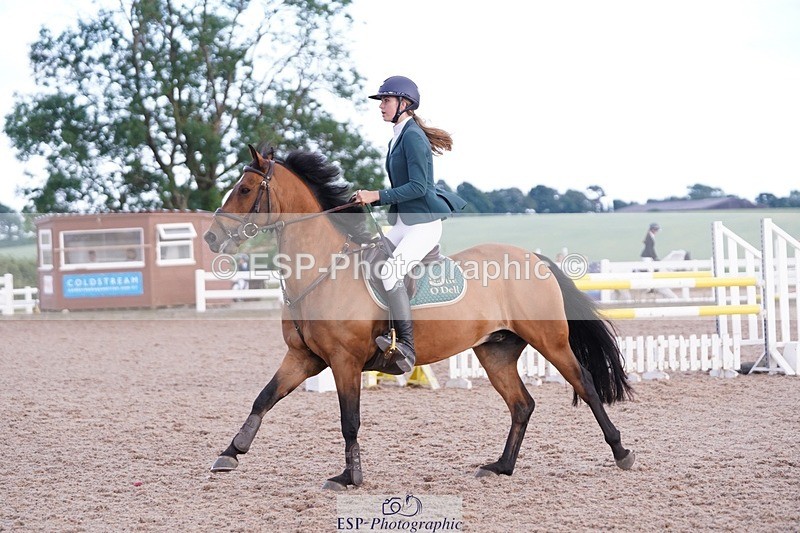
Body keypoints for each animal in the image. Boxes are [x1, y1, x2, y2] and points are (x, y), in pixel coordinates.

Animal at [203, 144, 635, 490]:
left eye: (244, 189)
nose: (210, 237)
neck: (323, 269)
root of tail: (534, 257)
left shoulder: (344, 362)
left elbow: (349, 420)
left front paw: (349, 477)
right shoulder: (303, 357)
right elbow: (263, 398)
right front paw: (231, 452)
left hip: (550, 341)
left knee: (586, 385)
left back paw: (621, 452)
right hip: (495, 351)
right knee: (521, 405)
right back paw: (500, 467)